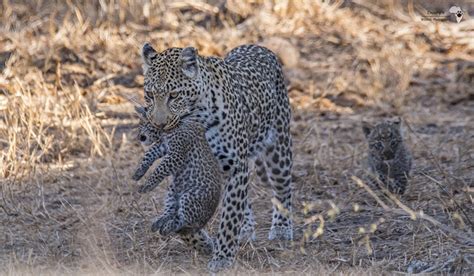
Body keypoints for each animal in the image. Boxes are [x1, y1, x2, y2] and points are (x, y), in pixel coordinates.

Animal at [140, 43, 292, 272]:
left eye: (174, 95)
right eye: (149, 95)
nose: (159, 125)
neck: (196, 116)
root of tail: (257, 46)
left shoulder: (235, 167)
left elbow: (229, 215)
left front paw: (222, 257)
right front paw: (202, 242)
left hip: (278, 150)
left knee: (282, 189)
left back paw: (282, 228)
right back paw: (245, 228)